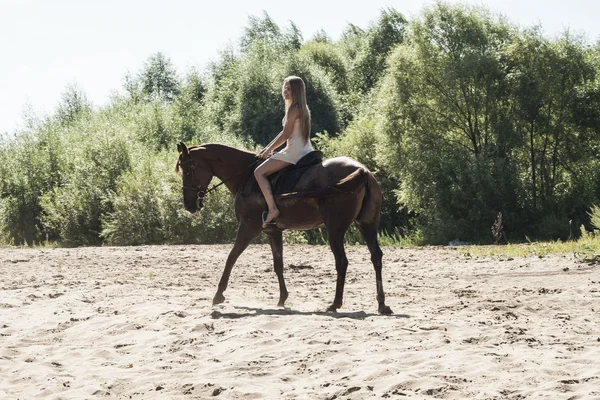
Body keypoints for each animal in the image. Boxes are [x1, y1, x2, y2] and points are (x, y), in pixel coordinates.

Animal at [176, 142, 392, 314]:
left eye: (187, 171)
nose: (189, 205)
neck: (246, 176)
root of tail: (362, 170)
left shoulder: (248, 227)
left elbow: (231, 258)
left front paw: (219, 294)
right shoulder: (273, 231)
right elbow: (278, 264)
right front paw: (282, 298)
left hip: (335, 229)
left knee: (342, 261)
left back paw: (335, 303)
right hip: (366, 225)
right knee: (376, 257)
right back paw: (381, 304)